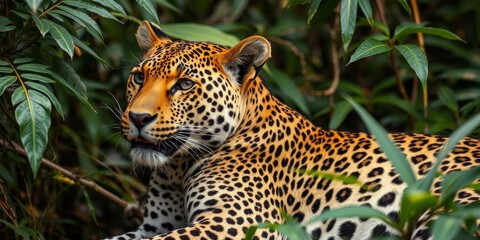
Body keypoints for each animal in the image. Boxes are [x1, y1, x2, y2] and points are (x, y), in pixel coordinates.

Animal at [106, 21, 480, 240]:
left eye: (184, 84)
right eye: (139, 77)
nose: (137, 117)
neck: (178, 167)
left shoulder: (236, 221)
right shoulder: (153, 225)